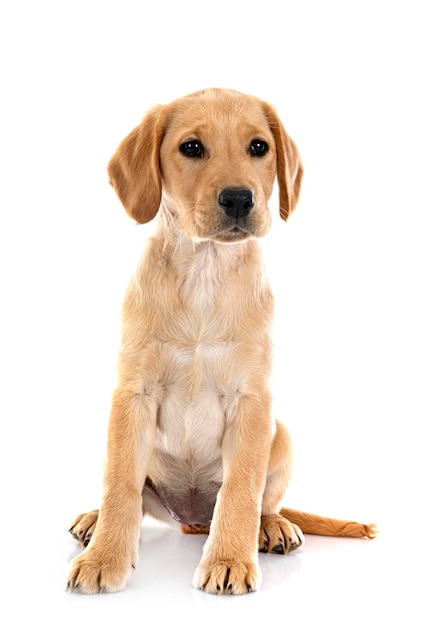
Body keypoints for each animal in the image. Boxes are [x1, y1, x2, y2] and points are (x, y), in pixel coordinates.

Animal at [67, 88, 374, 596]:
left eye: (258, 147)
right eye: (192, 148)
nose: (237, 199)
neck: (205, 273)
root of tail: (191, 520)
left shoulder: (252, 399)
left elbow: (241, 488)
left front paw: (230, 558)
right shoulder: (132, 394)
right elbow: (120, 485)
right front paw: (104, 557)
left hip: (280, 432)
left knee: (265, 503)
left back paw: (272, 527)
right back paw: (94, 521)